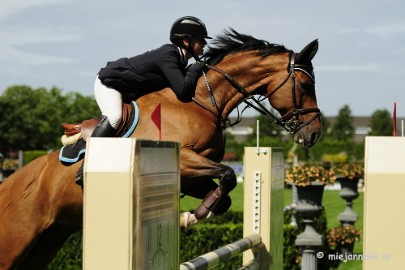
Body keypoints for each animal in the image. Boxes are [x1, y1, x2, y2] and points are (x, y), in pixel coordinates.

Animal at [0, 28, 322, 268]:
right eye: (306, 85)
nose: (315, 134)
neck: (200, 101)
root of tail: (11, 183)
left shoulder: (192, 178)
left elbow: (225, 193)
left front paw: (192, 216)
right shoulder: (183, 160)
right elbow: (229, 174)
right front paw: (191, 216)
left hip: (47, 242)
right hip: (17, 242)